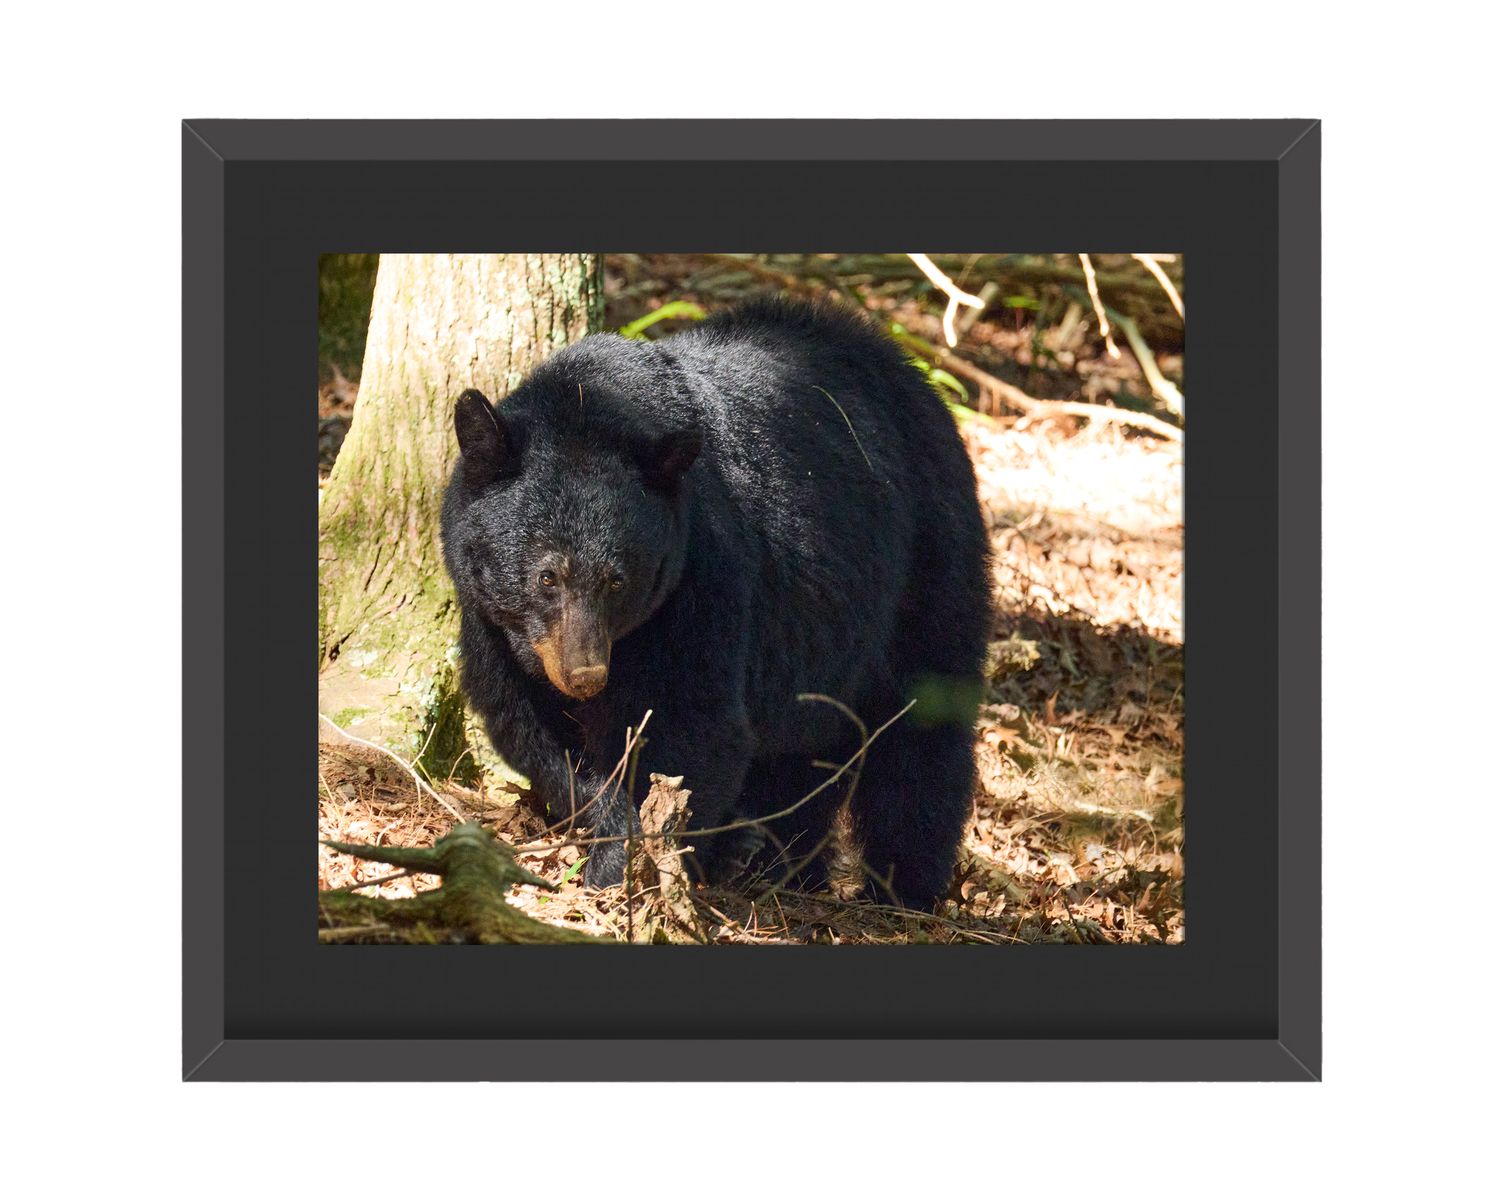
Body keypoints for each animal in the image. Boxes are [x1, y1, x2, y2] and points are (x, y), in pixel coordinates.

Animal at [440, 298, 991, 909]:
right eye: (546, 576)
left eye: (617, 580)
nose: (584, 676)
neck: (591, 405)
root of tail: (909, 371)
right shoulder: (492, 625)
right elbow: (534, 731)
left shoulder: (702, 575)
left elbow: (690, 727)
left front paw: (622, 872)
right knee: (804, 751)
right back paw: (778, 862)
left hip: (928, 560)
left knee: (923, 727)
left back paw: (900, 886)